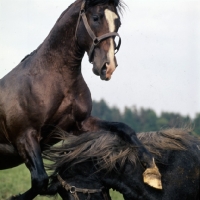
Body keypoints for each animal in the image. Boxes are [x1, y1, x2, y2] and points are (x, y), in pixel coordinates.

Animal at [0, 0, 161, 199]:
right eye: (96, 18)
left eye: (118, 22)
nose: (108, 67)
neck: (54, 79)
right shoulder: (25, 136)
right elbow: (40, 180)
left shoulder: (79, 124)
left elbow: (125, 129)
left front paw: (152, 171)